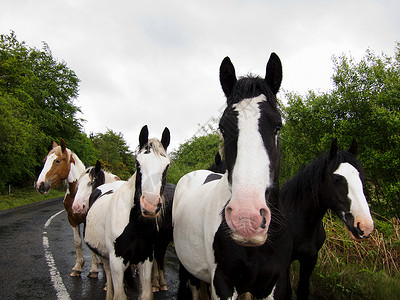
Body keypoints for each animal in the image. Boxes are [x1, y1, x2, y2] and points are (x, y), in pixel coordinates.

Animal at [35, 139, 99, 278]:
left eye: (58, 161)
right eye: (45, 160)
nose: (40, 185)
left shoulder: (88, 219)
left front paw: (93, 270)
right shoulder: (72, 219)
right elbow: (77, 242)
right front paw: (77, 267)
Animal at [83, 125, 171, 300]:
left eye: (167, 165)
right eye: (138, 163)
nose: (150, 205)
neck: (135, 226)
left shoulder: (146, 259)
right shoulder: (117, 261)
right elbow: (119, 294)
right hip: (106, 257)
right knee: (108, 275)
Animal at [278, 138, 376, 300]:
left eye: (361, 177)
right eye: (336, 179)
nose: (364, 226)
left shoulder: (310, 260)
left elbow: (302, 291)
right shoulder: (284, 264)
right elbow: (286, 292)